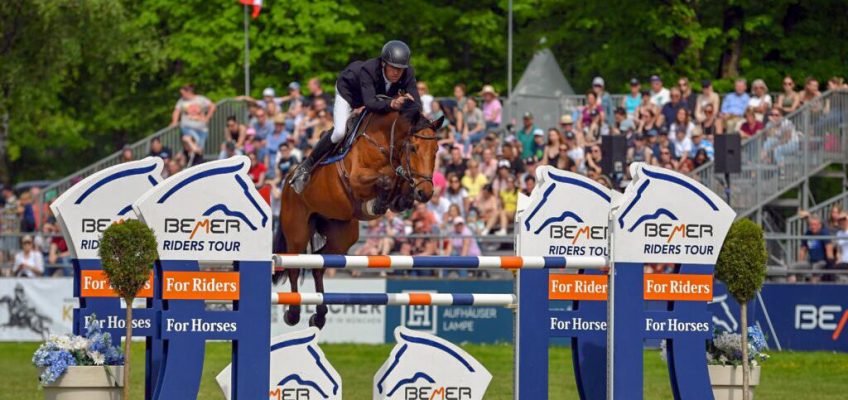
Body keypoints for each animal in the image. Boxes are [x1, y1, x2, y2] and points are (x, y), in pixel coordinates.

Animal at [274, 100, 448, 328]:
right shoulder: (357, 178)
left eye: (436, 149)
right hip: (298, 231)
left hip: (342, 236)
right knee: (294, 266)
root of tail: (287, 181)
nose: (425, 193)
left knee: (319, 266)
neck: (386, 142)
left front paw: (397, 197)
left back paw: (319, 316)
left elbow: (399, 187)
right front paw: (378, 203)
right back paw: (293, 313)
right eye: (413, 147)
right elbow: (385, 179)